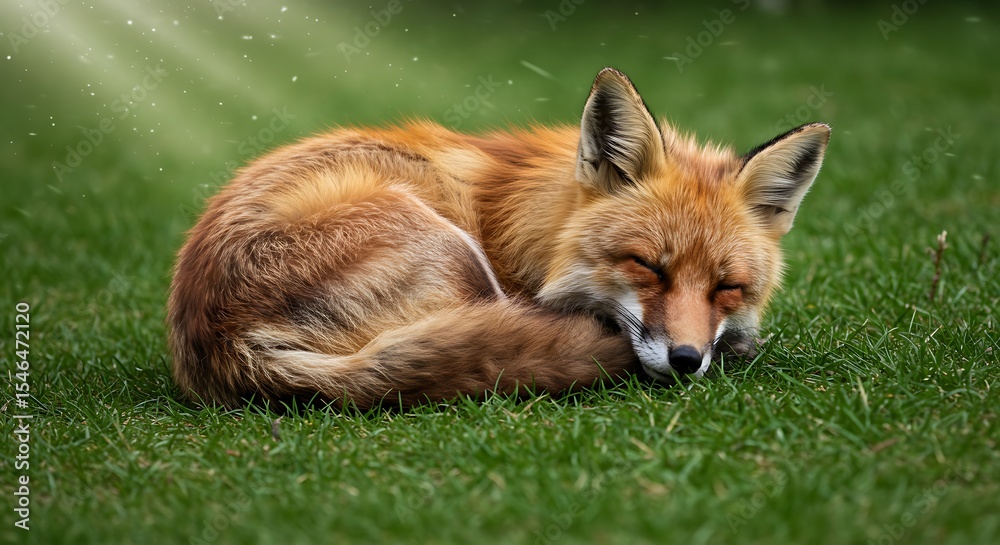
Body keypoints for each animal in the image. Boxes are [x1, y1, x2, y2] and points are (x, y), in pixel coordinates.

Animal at [167, 67, 830, 410]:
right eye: (647, 266)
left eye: (727, 287)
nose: (687, 360)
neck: (528, 222)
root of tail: (224, 340)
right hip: (449, 246)